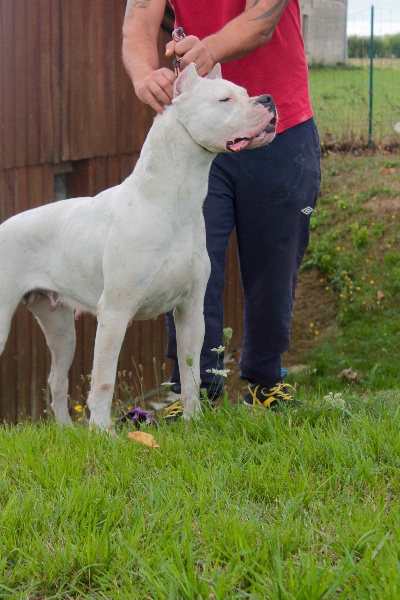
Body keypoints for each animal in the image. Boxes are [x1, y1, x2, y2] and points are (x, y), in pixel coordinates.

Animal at [0, 63, 276, 428]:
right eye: (224, 99)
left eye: (246, 92)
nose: (268, 99)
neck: (174, 202)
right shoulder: (115, 312)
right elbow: (104, 379)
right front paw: (102, 432)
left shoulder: (191, 310)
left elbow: (191, 372)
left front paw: (193, 422)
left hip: (60, 328)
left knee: (57, 380)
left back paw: (67, 430)